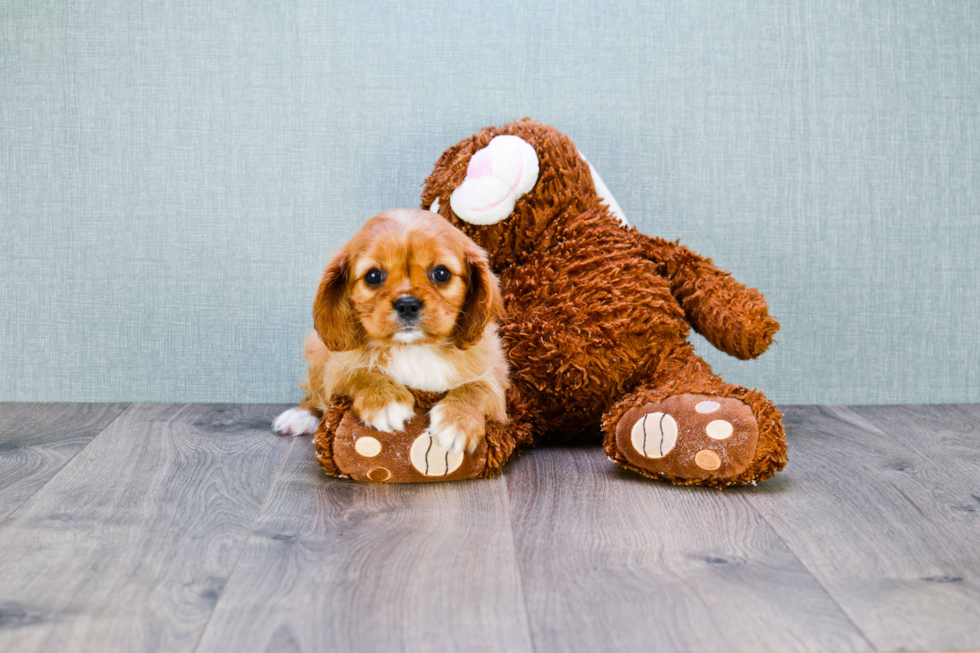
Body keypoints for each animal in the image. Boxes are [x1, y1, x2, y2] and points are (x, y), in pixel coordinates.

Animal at [272, 209, 510, 454]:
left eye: (441, 273)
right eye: (373, 276)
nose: (407, 305)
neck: (413, 348)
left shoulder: (495, 380)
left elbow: (479, 388)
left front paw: (458, 420)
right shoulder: (336, 371)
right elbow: (359, 372)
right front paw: (385, 401)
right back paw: (300, 416)